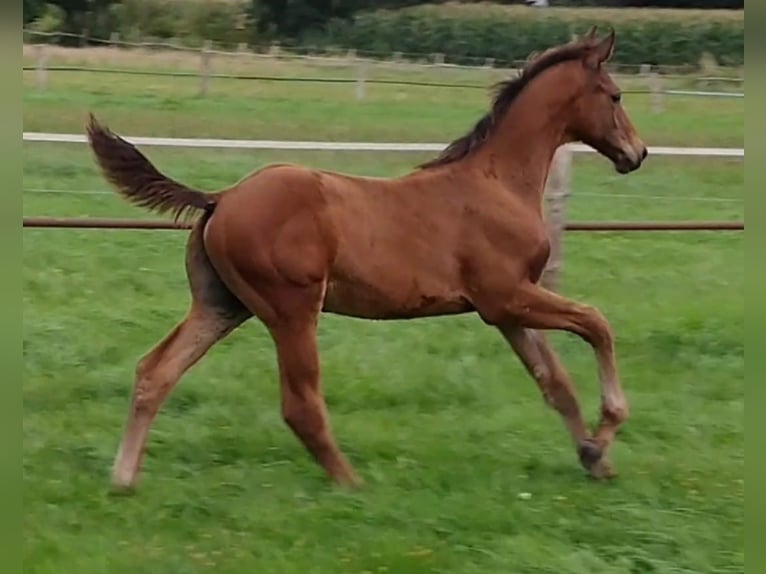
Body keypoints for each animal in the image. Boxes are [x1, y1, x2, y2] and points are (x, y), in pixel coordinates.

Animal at [85, 28, 648, 496]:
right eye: (616, 96)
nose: (637, 153)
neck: (498, 183)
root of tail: (219, 198)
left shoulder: (507, 310)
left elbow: (556, 383)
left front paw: (595, 458)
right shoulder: (506, 295)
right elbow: (597, 324)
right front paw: (606, 432)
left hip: (221, 305)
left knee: (155, 372)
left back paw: (122, 479)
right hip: (291, 310)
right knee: (300, 404)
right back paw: (352, 484)